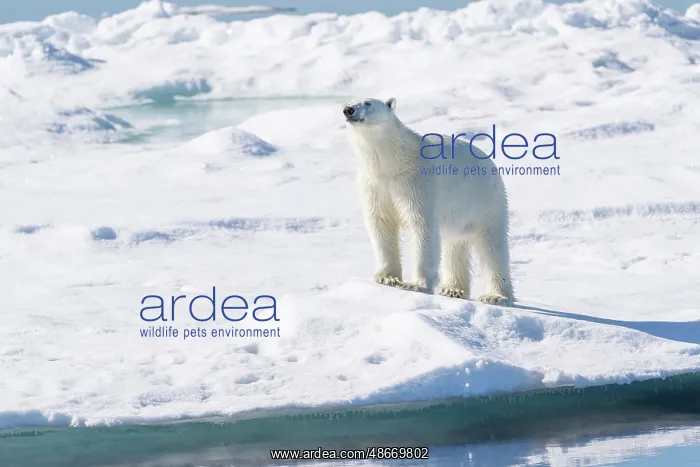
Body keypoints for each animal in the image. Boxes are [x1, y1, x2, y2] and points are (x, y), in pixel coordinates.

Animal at [343, 97, 514, 306]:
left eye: (367, 102)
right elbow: (381, 224)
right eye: (349, 101)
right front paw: (387, 278)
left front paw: (415, 285)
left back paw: (496, 296)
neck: (392, 164)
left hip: (486, 203)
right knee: (455, 245)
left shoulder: (418, 183)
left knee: (492, 247)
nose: (348, 110)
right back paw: (453, 290)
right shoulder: (375, 185)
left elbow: (421, 227)